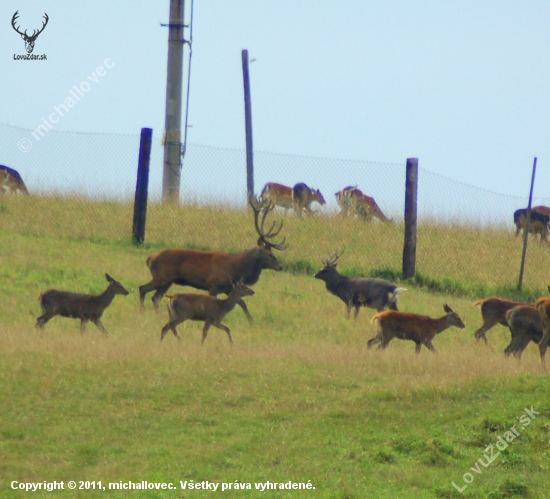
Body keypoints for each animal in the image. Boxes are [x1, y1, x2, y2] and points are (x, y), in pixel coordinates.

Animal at [139, 194, 288, 320]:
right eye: (270, 254)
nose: (280, 266)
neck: (237, 268)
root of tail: (149, 258)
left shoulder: (228, 287)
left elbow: (242, 302)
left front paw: (251, 321)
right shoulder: (214, 285)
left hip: (168, 280)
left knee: (156, 297)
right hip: (161, 277)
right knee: (143, 289)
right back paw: (143, 310)